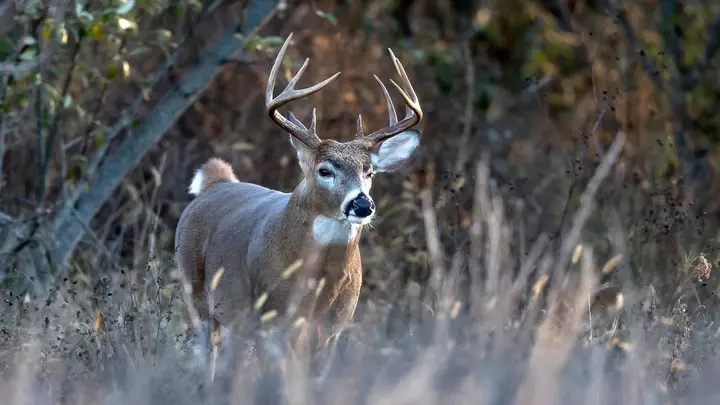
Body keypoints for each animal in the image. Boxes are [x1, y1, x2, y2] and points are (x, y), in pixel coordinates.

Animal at [174, 33, 423, 375]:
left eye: (369, 171)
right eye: (325, 170)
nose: (362, 205)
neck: (318, 287)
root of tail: (216, 183)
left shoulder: (332, 331)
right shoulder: (270, 320)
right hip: (196, 294)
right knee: (206, 355)